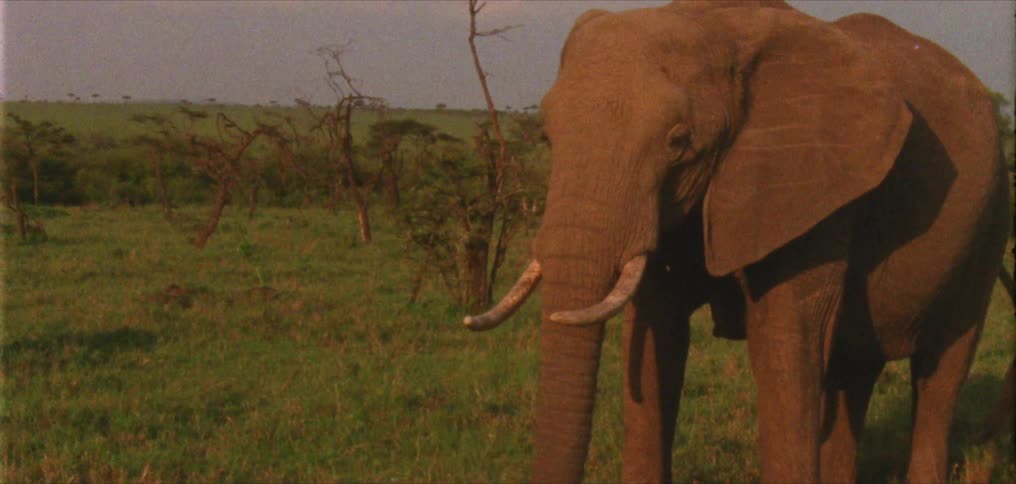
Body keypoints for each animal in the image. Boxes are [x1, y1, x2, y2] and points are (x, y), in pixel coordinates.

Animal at [465, 1, 1011, 483]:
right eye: (546, 139)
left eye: (678, 142)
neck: (718, 25)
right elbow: (657, 334)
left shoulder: (813, 187)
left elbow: (782, 343)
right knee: (853, 368)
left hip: (989, 220)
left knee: (942, 366)